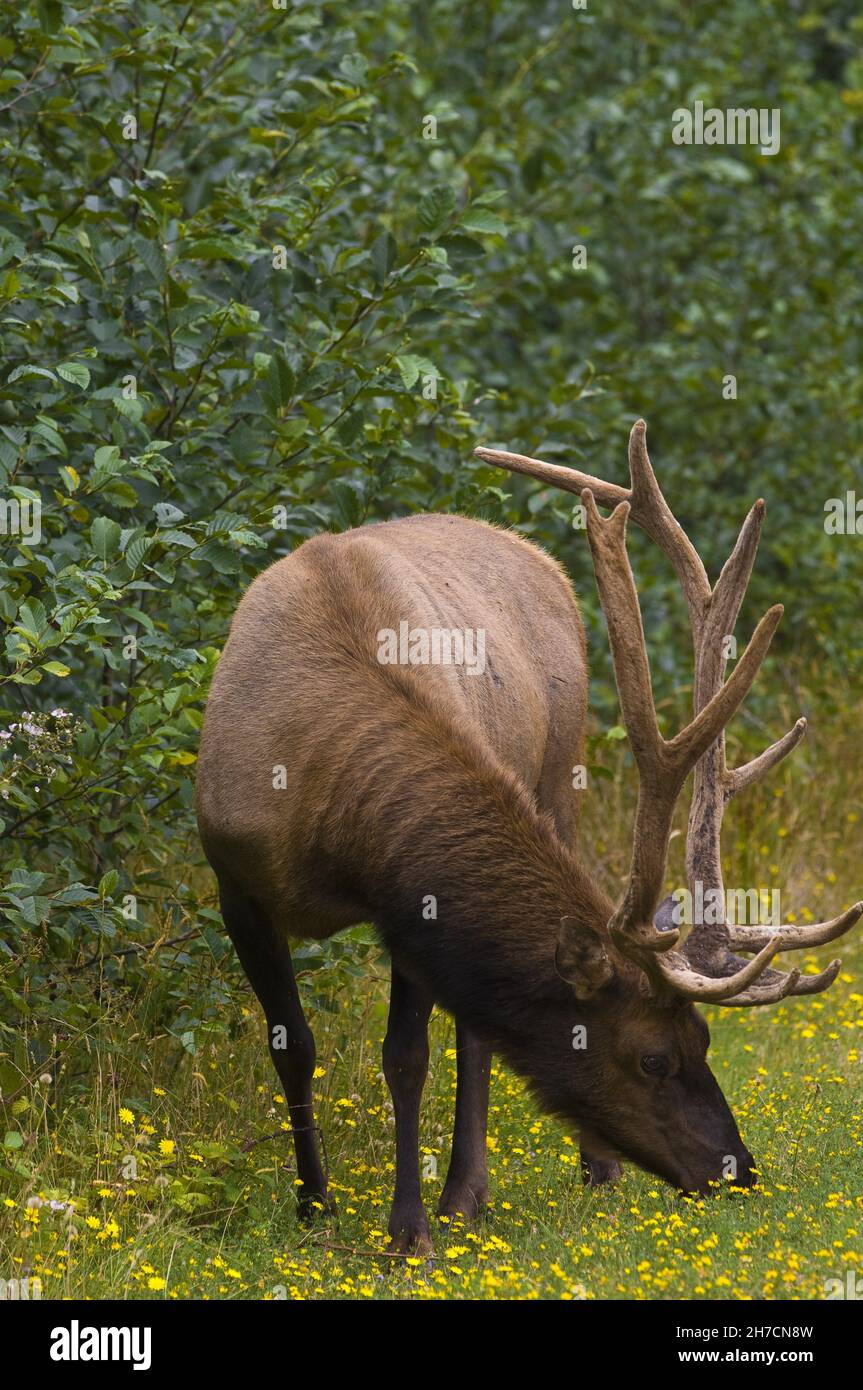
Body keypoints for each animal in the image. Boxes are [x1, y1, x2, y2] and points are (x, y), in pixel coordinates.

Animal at [195, 420, 861, 1254]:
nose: (736, 1168)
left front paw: (409, 1228)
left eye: (707, 1040)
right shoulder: (234, 875)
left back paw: (507, 1185)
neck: (329, 814)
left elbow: (406, 1056)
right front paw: (315, 1205)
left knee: (474, 1034)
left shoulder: (407, 902)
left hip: (559, 771)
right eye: (653, 1057)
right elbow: (295, 1045)